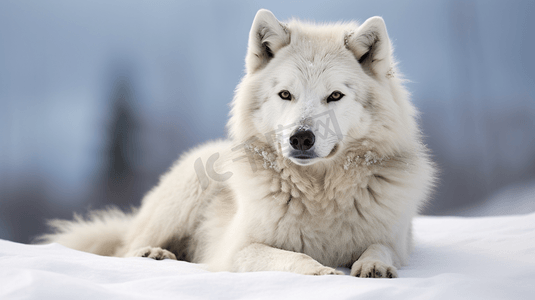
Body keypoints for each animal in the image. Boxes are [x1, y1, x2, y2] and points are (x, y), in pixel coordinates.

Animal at [40, 9, 436, 278]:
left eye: (335, 96)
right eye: (286, 94)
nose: (301, 138)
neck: (319, 193)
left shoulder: (398, 241)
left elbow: (379, 248)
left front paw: (372, 266)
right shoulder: (236, 250)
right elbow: (290, 256)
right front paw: (320, 272)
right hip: (182, 199)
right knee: (125, 249)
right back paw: (154, 254)